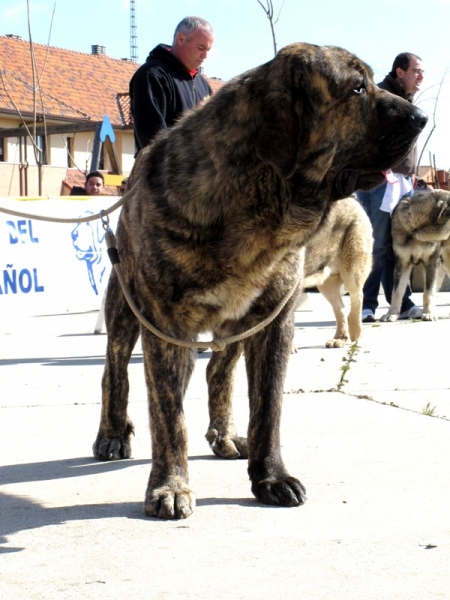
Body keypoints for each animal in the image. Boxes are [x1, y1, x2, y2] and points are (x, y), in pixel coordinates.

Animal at [94, 43, 426, 520]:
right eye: (358, 88)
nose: (421, 118)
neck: (256, 200)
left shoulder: (272, 323)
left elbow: (268, 408)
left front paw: (270, 477)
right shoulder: (165, 326)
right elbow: (169, 417)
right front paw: (170, 486)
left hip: (236, 325)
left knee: (216, 371)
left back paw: (225, 434)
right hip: (125, 311)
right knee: (115, 371)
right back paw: (112, 433)